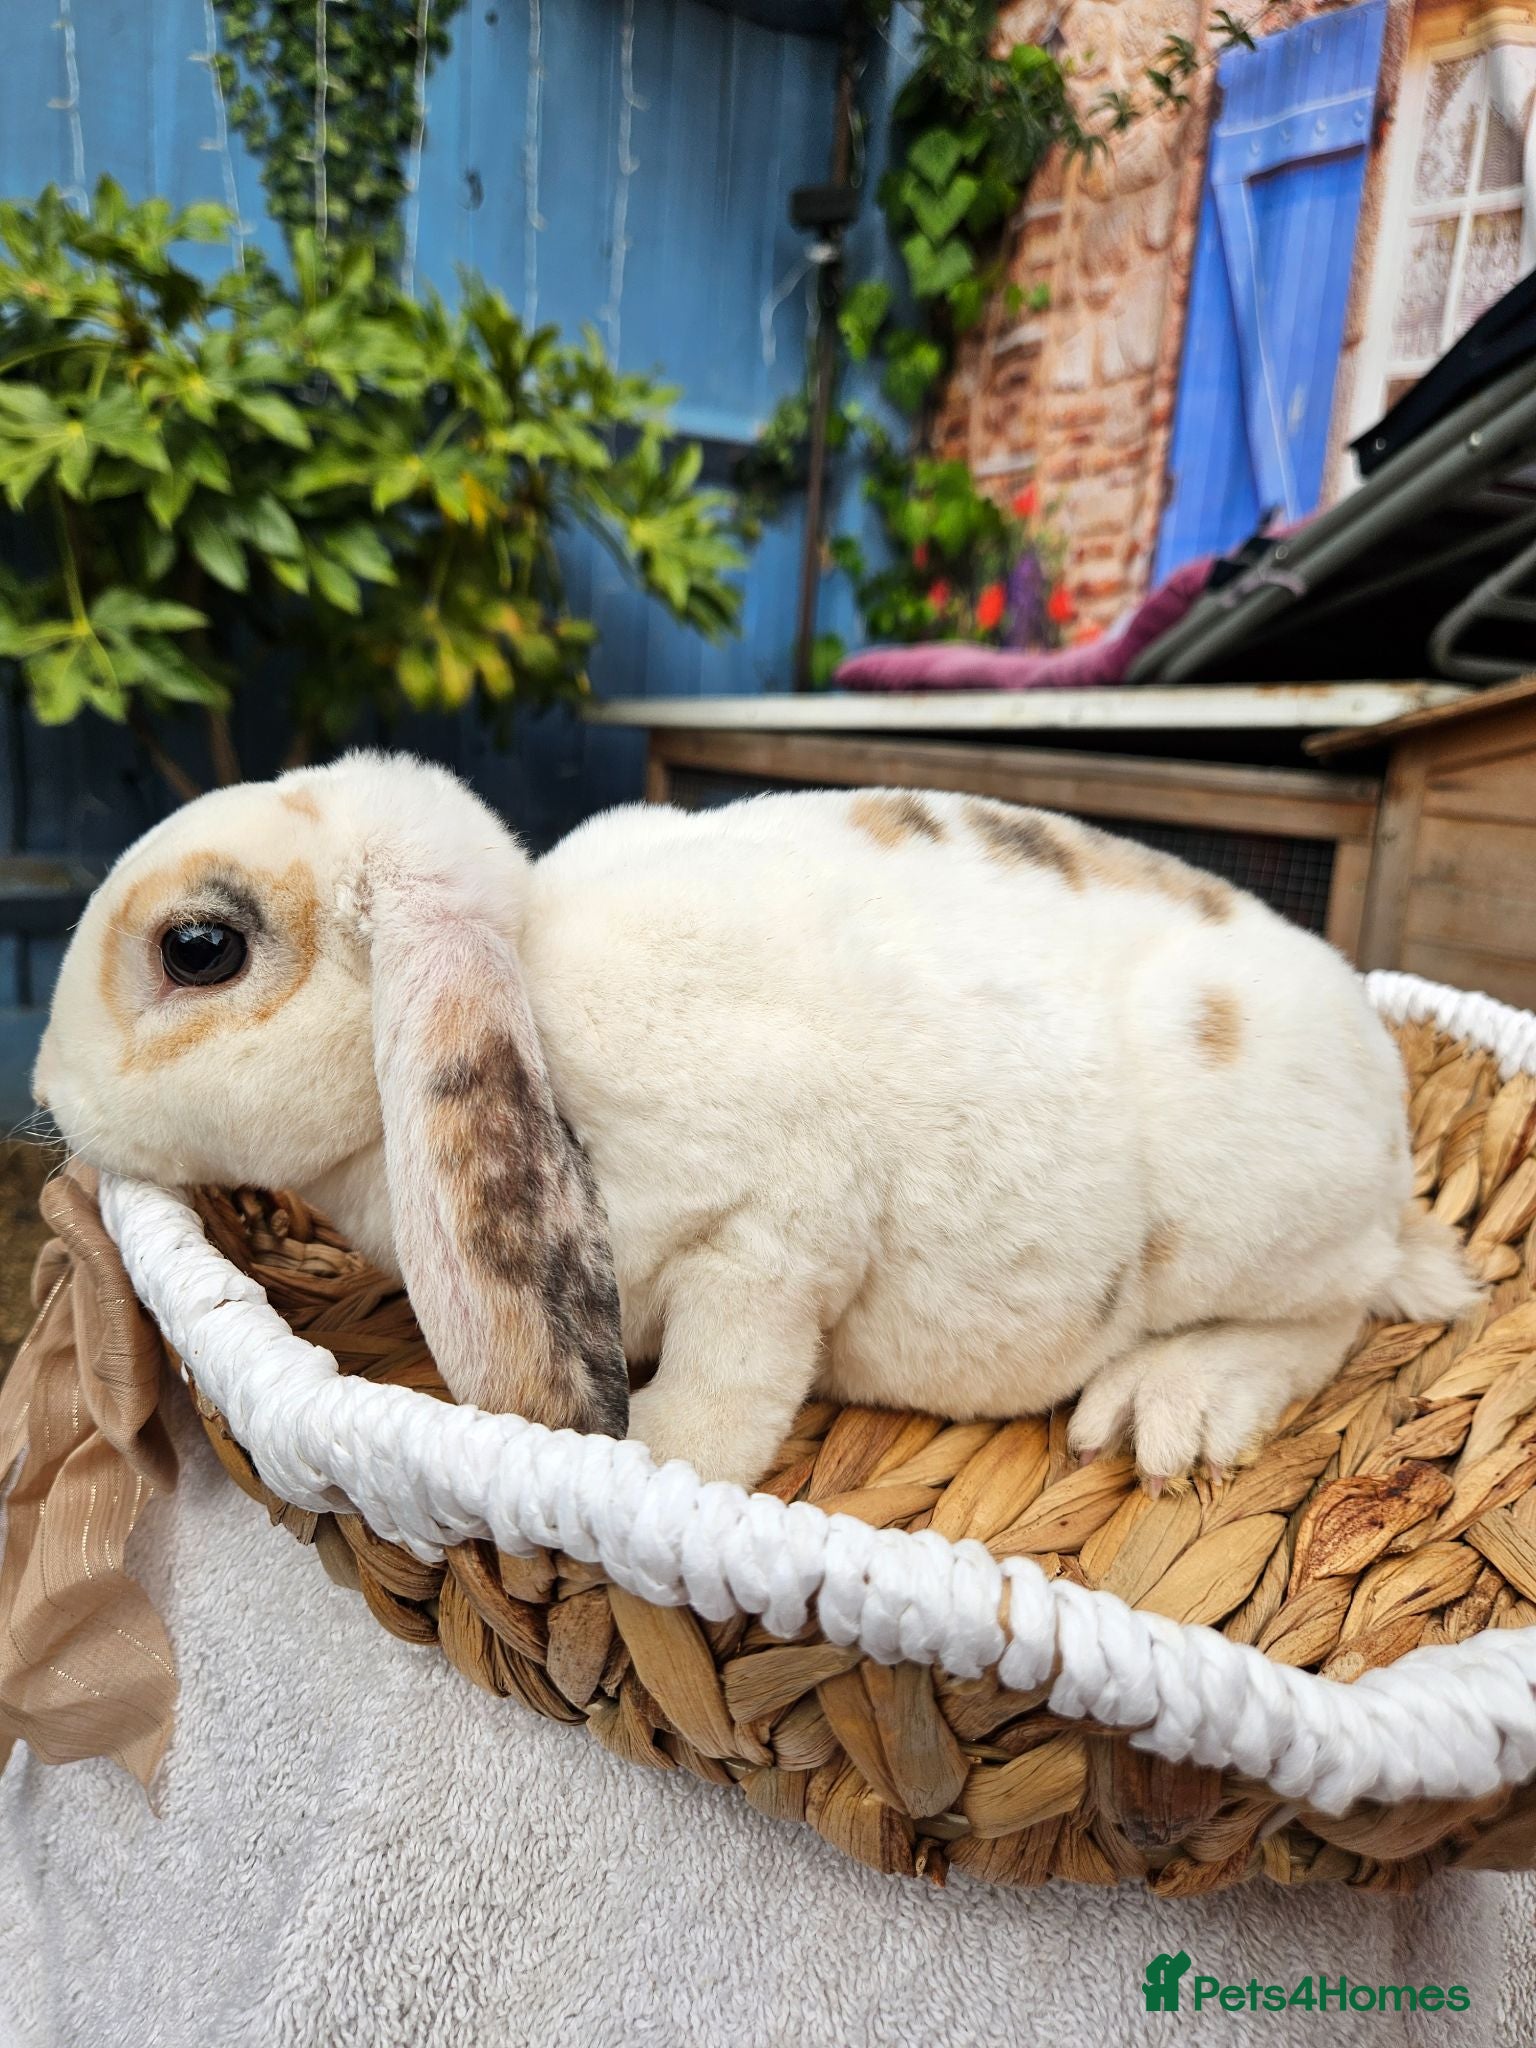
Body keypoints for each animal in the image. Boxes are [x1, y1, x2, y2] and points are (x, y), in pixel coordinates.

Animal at [32, 749, 1478, 1492]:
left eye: (200, 949)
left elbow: (730, 1388)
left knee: (1325, 1319)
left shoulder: (775, 1235)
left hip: (1260, 1229)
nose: (45, 1090)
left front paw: (657, 1462)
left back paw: (1169, 1408)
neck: (531, 976)